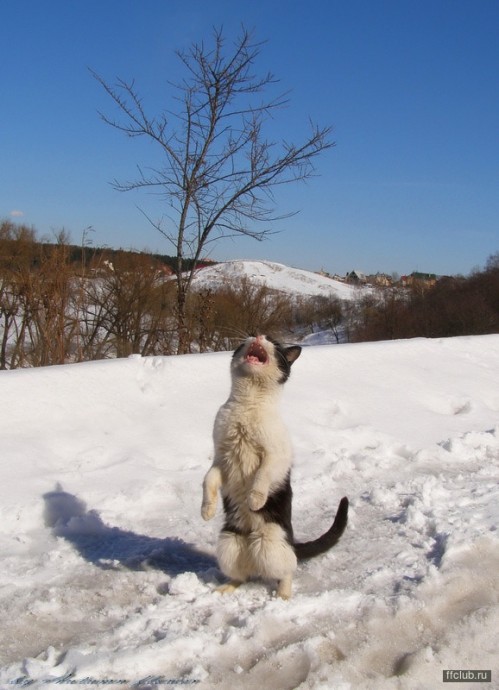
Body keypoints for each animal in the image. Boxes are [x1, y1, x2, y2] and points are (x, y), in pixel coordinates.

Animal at [201, 334, 350, 596]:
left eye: (274, 341)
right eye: (253, 334)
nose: (260, 335)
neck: (247, 405)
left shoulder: (276, 457)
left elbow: (262, 476)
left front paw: (254, 500)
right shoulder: (221, 458)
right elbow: (208, 480)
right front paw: (206, 510)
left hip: (270, 543)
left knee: (286, 570)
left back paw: (283, 596)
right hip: (229, 544)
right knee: (242, 574)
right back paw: (226, 588)